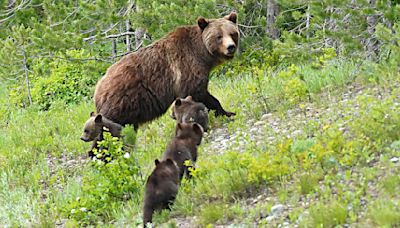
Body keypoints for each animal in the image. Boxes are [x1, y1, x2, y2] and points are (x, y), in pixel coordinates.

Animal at [93, 12, 241, 129]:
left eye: (232, 33)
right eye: (219, 36)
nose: (230, 47)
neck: (203, 55)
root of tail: (98, 88)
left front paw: (227, 112)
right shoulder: (187, 67)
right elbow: (197, 92)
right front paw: (225, 112)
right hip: (122, 101)